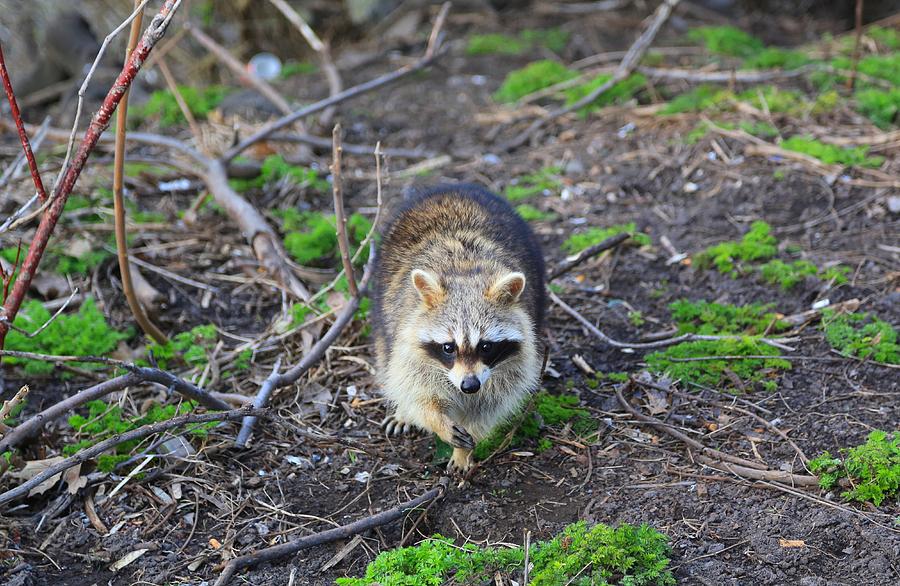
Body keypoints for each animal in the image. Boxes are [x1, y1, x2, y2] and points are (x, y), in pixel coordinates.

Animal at [370, 185, 544, 472]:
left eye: (486, 346)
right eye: (448, 347)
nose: (470, 386)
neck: (464, 272)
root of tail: (454, 188)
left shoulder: (513, 364)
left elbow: (490, 407)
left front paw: (464, 451)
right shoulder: (408, 336)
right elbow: (417, 390)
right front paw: (435, 420)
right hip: (383, 302)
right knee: (389, 362)